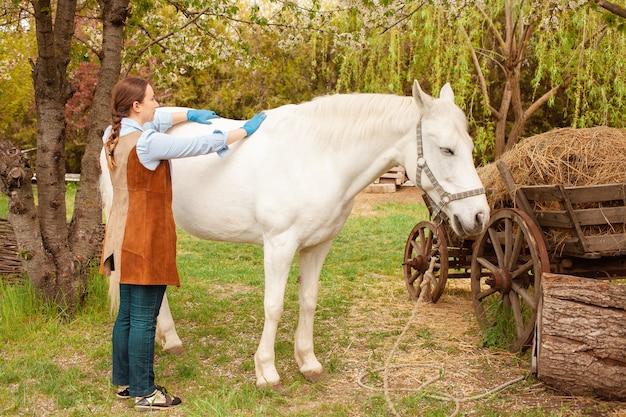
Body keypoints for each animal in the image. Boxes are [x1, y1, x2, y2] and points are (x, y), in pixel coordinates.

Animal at [98, 80, 488, 386]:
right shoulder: (279, 245)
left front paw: (308, 362)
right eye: (446, 149)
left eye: (469, 147)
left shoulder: (318, 246)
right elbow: (274, 305)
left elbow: (308, 301)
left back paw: (169, 338)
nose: (479, 216)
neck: (317, 158)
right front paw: (266, 371)